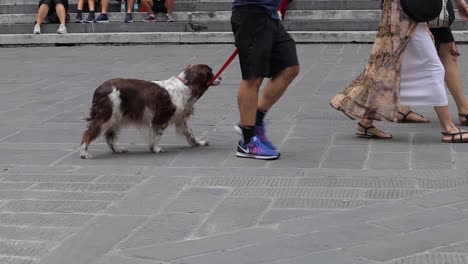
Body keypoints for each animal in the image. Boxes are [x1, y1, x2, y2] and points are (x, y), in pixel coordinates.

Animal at [80, 64, 221, 159]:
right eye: (210, 73)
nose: (221, 78)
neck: (185, 85)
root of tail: (99, 89)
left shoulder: (180, 117)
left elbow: (190, 132)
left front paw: (199, 142)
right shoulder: (162, 117)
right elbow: (157, 135)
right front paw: (156, 148)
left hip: (116, 117)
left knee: (109, 136)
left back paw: (117, 149)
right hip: (107, 116)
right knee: (88, 134)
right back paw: (84, 153)